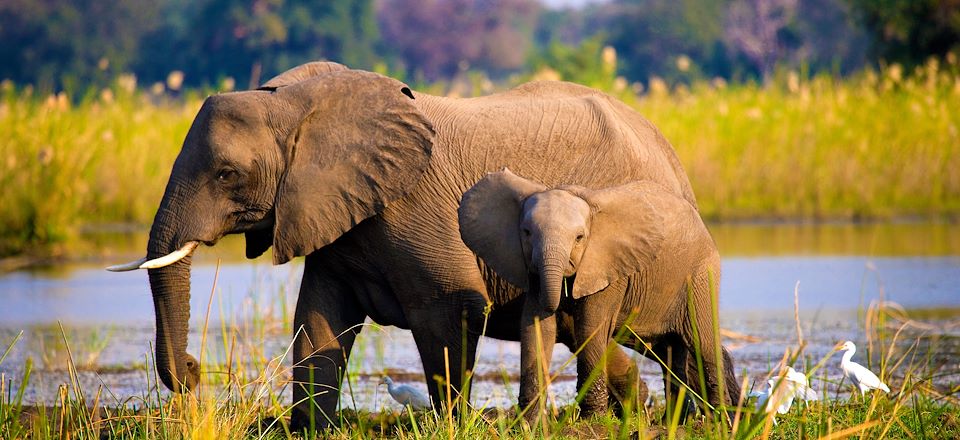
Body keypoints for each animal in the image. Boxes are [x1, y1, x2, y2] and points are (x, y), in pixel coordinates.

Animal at [110, 62, 704, 430]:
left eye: (227, 174)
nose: (192, 371)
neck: (299, 103)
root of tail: (671, 154)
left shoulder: (415, 205)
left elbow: (450, 308)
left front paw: (454, 425)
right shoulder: (336, 217)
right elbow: (318, 322)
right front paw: (311, 429)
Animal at [462, 168, 740, 420]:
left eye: (579, 238)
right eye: (527, 233)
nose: (559, 302)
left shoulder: (609, 268)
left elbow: (590, 327)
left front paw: (590, 420)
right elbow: (536, 329)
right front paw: (528, 424)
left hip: (701, 274)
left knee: (703, 343)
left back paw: (720, 420)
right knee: (673, 351)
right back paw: (674, 422)